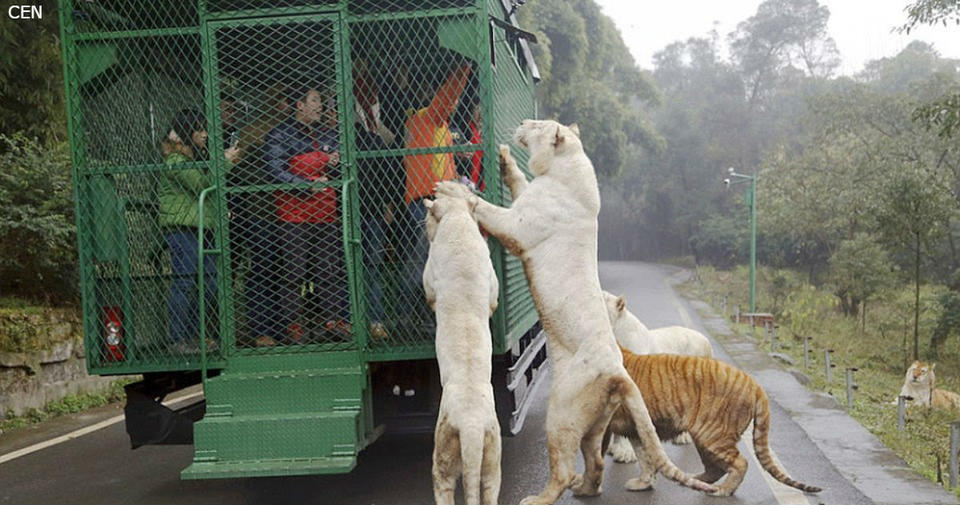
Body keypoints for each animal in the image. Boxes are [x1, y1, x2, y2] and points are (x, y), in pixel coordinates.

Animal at [424, 194, 506, 504]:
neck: (458, 220)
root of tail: (471, 425)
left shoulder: (430, 274)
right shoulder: (491, 278)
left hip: (443, 454)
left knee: (444, 485)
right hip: (493, 453)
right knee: (489, 488)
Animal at [436, 121, 712, 504]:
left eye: (538, 125)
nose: (523, 124)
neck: (562, 167)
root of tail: (618, 371)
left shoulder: (520, 224)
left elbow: (485, 207)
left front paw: (452, 191)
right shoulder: (528, 198)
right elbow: (520, 181)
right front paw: (506, 161)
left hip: (561, 412)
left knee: (564, 468)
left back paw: (537, 498)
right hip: (594, 421)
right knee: (595, 461)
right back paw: (585, 488)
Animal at [604, 348, 820, 494]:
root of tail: (754, 383)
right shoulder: (636, 429)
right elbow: (645, 457)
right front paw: (644, 483)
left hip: (713, 436)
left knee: (740, 463)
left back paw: (722, 491)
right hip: (705, 439)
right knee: (715, 469)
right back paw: (695, 480)